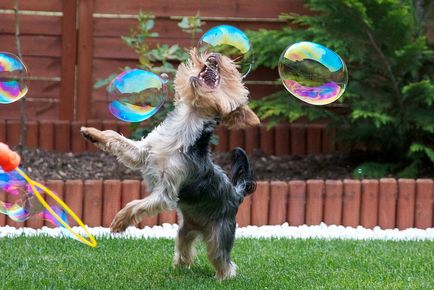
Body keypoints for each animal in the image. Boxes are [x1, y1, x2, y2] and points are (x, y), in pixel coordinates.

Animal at [80, 48, 260, 280]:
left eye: (233, 74)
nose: (216, 56)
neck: (184, 127)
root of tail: (237, 193)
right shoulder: (143, 152)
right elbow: (115, 138)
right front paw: (92, 133)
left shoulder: (166, 190)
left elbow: (136, 204)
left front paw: (120, 221)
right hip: (186, 229)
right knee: (184, 246)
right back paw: (180, 267)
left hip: (220, 233)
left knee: (222, 259)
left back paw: (222, 278)